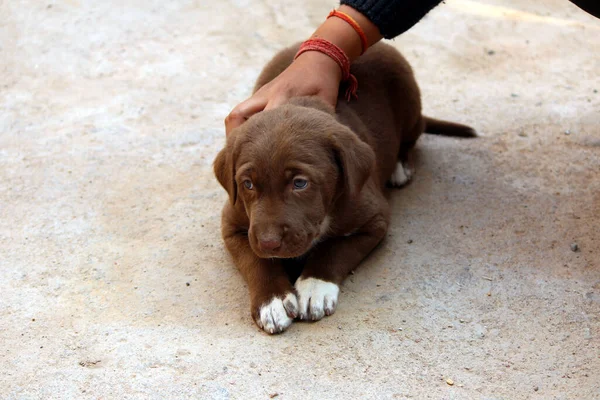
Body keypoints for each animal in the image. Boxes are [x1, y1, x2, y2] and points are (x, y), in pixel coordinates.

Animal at [213, 42, 476, 334]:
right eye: (247, 183)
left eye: (300, 183)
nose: (270, 243)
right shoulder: (234, 225)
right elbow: (256, 260)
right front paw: (273, 301)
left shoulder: (374, 221)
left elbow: (334, 249)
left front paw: (314, 288)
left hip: (410, 105)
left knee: (410, 139)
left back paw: (399, 167)